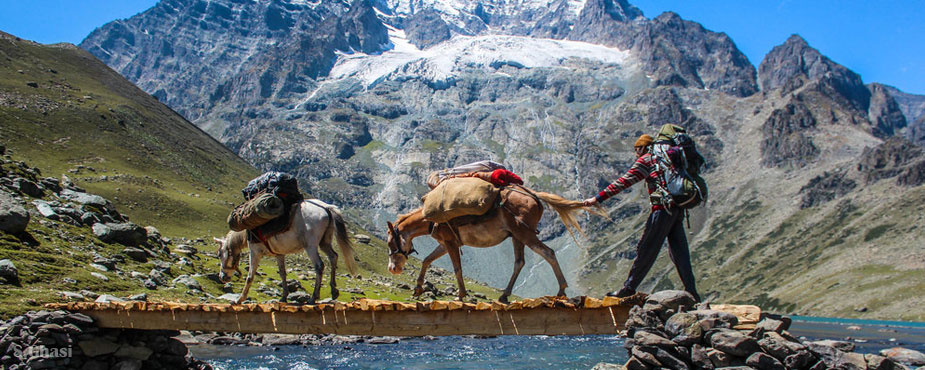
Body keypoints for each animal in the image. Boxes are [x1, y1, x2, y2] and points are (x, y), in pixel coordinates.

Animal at [214, 199, 358, 304]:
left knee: (319, 265)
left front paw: (239, 299)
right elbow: (282, 273)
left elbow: (250, 275)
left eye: (220, 254)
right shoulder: (279, 254)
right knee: (333, 257)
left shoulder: (255, 251)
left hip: (311, 246)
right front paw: (284, 296)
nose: (222, 277)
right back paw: (334, 291)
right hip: (324, 242)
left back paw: (313, 298)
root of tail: (326, 207)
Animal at [382, 185, 600, 304]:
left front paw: (460, 295)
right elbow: (427, 260)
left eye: (390, 241)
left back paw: (561, 290)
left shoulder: (451, 243)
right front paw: (418, 289)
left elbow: (457, 268)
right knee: (520, 262)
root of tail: (534, 196)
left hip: (525, 235)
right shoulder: (444, 244)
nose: (392, 268)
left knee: (548, 253)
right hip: (517, 237)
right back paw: (504, 295)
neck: (431, 219)